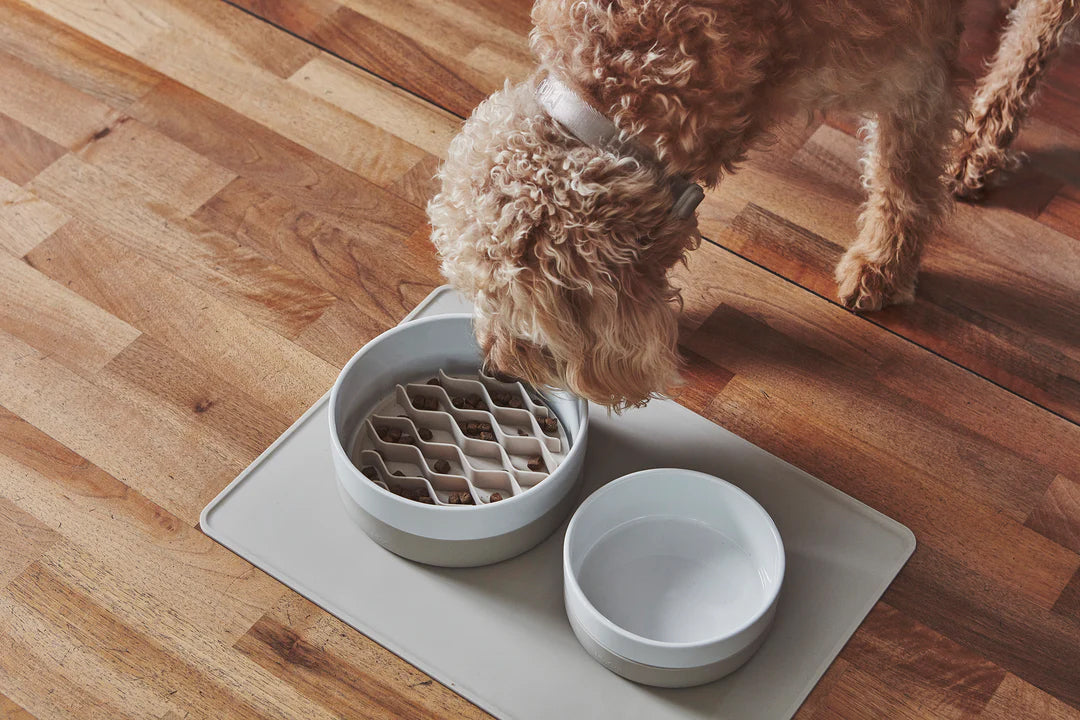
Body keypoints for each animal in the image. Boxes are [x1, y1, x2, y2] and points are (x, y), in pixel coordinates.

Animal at [425, 0, 1075, 408]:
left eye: (512, 309)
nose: (492, 367)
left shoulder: (912, 69)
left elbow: (902, 178)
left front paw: (885, 263)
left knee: (1038, 28)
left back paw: (984, 136)